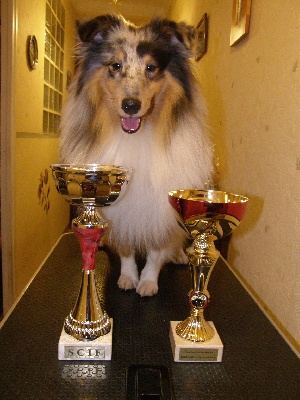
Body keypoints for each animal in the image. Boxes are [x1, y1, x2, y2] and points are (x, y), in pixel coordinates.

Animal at [59, 14, 213, 296]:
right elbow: (127, 249)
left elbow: (155, 251)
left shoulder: (159, 205)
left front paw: (148, 282)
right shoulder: (121, 208)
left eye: (151, 67)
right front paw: (129, 277)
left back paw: (178, 255)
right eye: (116, 65)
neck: (137, 136)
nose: (131, 106)